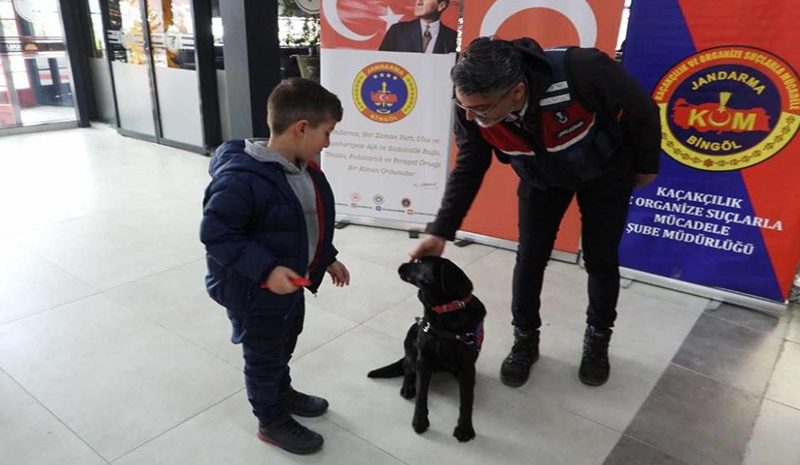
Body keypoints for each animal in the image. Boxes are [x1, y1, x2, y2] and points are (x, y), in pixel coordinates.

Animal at [366, 256, 484, 440]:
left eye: (420, 263)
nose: (400, 265)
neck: (445, 312)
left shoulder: (467, 365)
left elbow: (466, 398)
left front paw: (465, 428)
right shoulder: (424, 359)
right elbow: (422, 393)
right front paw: (419, 421)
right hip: (411, 339)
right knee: (407, 368)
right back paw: (408, 387)